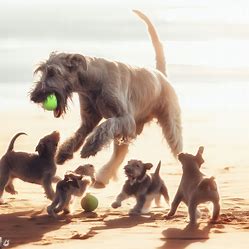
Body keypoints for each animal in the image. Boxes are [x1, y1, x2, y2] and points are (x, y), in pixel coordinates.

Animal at [30, 10, 182, 188]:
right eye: (42, 71)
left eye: (53, 72)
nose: (34, 96)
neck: (93, 81)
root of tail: (160, 74)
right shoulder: (90, 121)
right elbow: (78, 135)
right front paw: (63, 153)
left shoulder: (124, 118)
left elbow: (104, 126)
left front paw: (90, 147)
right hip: (125, 135)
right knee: (119, 155)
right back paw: (104, 177)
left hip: (170, 125)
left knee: (177, 146)